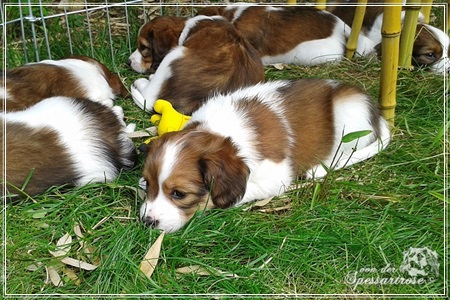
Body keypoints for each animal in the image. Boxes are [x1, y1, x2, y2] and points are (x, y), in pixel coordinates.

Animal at [138, 78, 390, 232]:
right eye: (149, 184)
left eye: (179, 194)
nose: (146, 222)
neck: (218, 129)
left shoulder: (276, 177)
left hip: (348, 112)